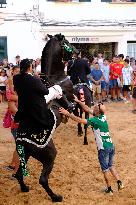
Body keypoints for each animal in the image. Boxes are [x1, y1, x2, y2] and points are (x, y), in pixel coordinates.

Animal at [13, 33, 78, 202]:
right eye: (67, 42)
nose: (78, 52)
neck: (54, 76)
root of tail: (23, 140)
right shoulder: (70, 95)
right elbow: (74, 103)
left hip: (26, 155)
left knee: (18, 174)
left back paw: (25, 188)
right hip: (49, 156)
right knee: (42, 179)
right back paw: (56, 197)